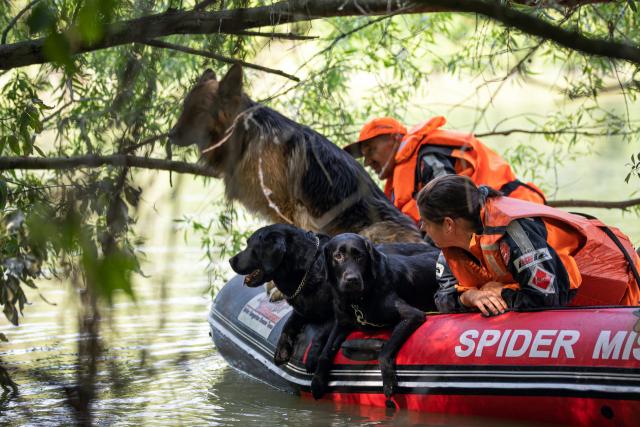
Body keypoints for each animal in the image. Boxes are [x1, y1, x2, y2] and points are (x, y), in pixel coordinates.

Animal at [168, 63, 422, 244]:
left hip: (370, 231)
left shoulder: (289, 209)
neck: (246, 135)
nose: (169, 135)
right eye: (184, 107)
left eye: (199, 111)